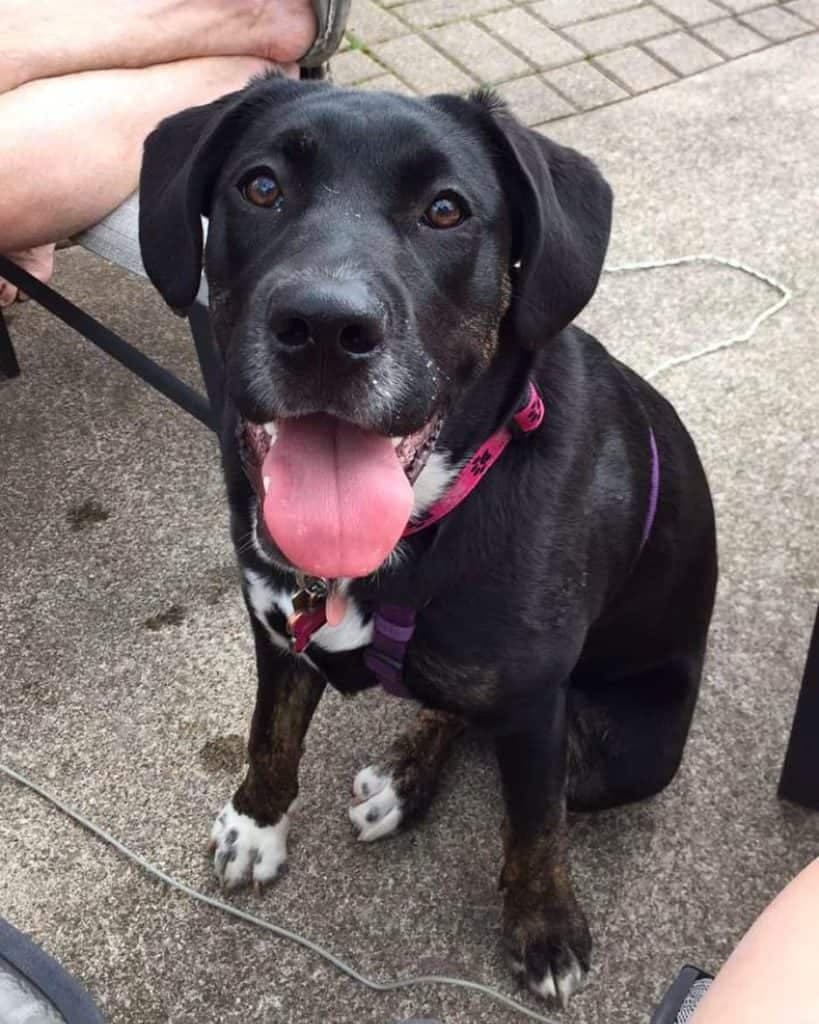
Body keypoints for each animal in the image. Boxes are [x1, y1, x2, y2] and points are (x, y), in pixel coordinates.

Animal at [139, 75, 716, 1003]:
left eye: (446, 209)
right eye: (260, 187)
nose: (323, 327)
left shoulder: (536, 702)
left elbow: (534, 825)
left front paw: (544, 928)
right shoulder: (278, 635)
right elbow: (270, 736)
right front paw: (256, 825)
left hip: (629, 753)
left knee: (539, 771)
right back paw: (403, 780)